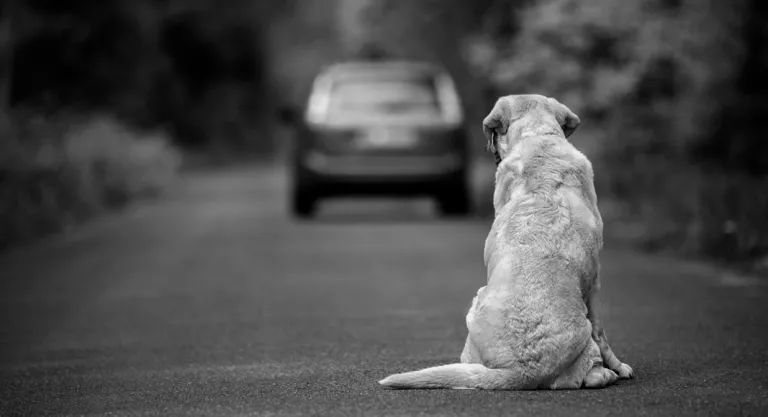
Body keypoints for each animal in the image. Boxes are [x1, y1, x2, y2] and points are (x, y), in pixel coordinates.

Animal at [378, 94, 636, 390]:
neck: (538, 137)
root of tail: (523, 371)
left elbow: (602, 333)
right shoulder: (594, 282)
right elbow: (601, 333)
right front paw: (619, 367)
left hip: (475, 307)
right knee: (592, 367)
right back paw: (606, 373)